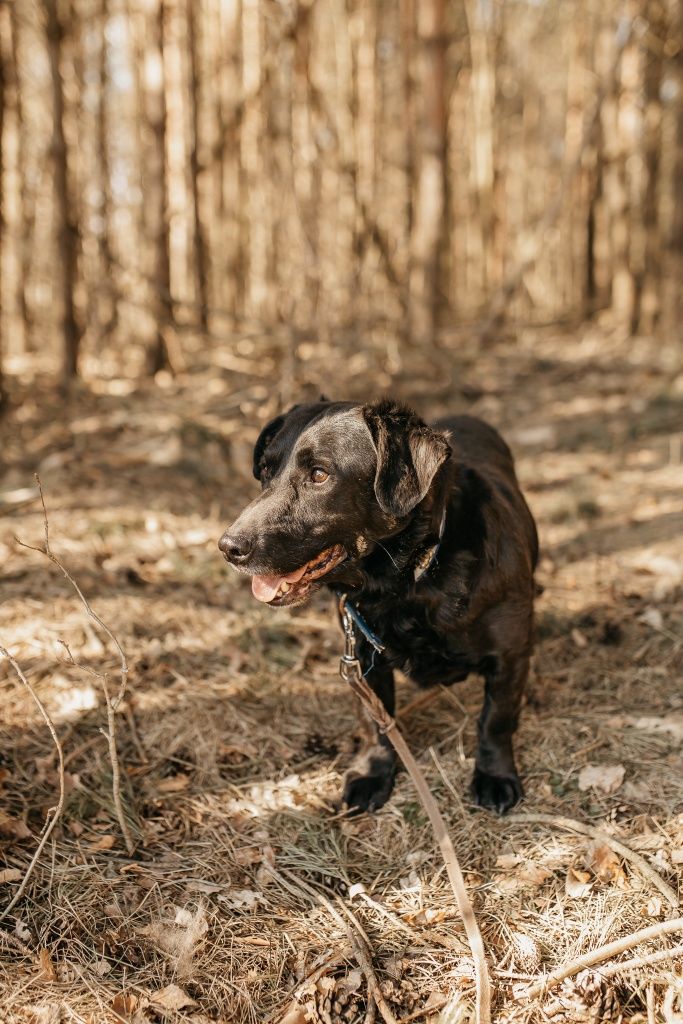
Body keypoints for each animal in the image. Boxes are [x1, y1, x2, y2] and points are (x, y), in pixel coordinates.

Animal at [219, 399, 540, 815]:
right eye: (265, 471)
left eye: (319, 474)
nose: (228, 547)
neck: (411, 580)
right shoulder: (361, 658)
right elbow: (376, 723)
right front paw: (373, 773)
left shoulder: (510, 655)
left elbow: (496, 720)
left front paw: (495, 775)